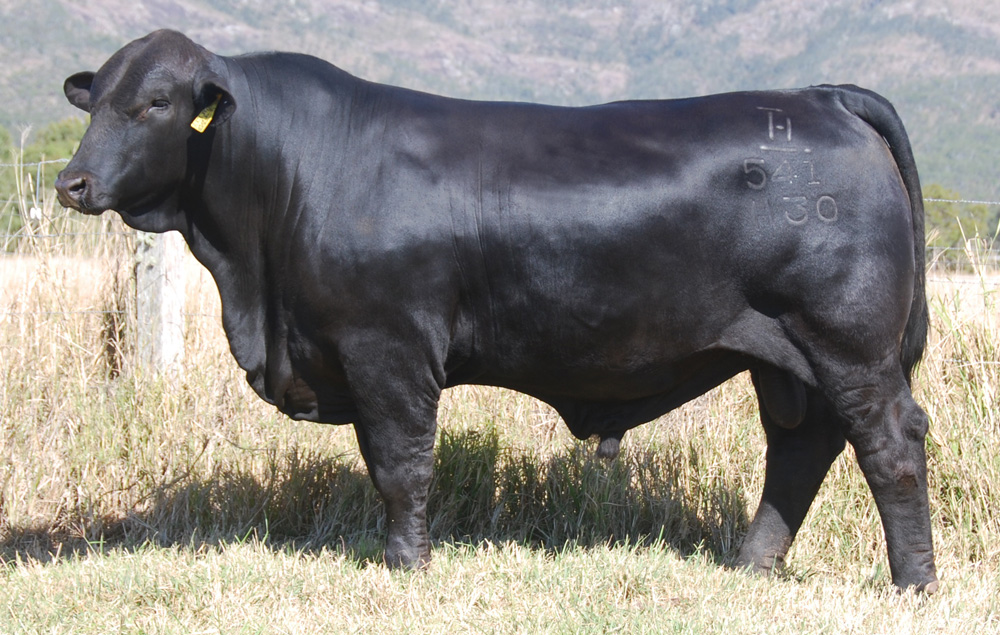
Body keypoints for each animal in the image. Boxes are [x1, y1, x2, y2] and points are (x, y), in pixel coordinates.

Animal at [55, 30, 937, 592]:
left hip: (848, 342)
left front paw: (406, 565)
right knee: (800, 447)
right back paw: (751, 565)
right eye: (92, 104)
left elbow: (401, 464)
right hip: (783, 356)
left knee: (890, 445)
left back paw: (913, 583)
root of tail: (821, 96)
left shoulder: (388, 348)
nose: (72, 182)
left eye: (157, 103)